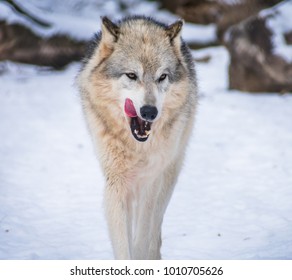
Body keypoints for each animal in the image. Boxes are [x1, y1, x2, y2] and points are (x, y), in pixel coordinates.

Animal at [76, 15, 197, 260]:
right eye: (132, 75)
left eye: (162, 77)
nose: (149, 112)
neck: (137, 148)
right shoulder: (116, 184)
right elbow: (124, 246)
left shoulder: (151, 182)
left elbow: (142, 239)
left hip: (168, 175)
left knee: (155, 232)